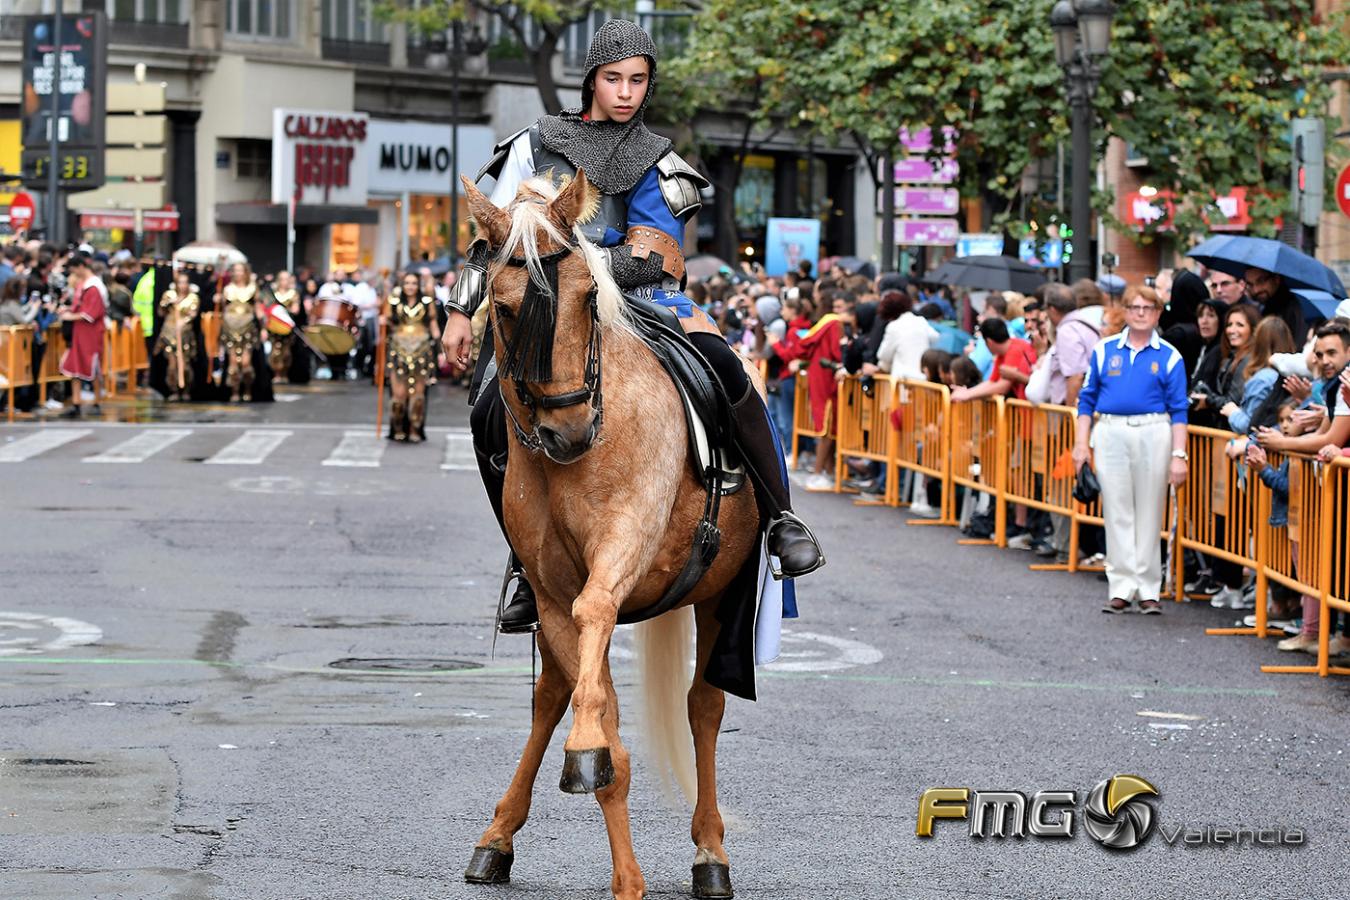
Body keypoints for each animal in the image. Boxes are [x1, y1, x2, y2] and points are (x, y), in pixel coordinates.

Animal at [459, 170, 766, 900]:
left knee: (705, 706)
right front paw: (597, 769)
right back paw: (497, 837)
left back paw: (711, 851)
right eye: (502, 308)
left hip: (725, 592)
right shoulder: (548, 592)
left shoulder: (621, 552)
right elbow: (597, 715)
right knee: (550, 696)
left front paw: (588, 757)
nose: (567, 430)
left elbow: (597, 612)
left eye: (589, 297)